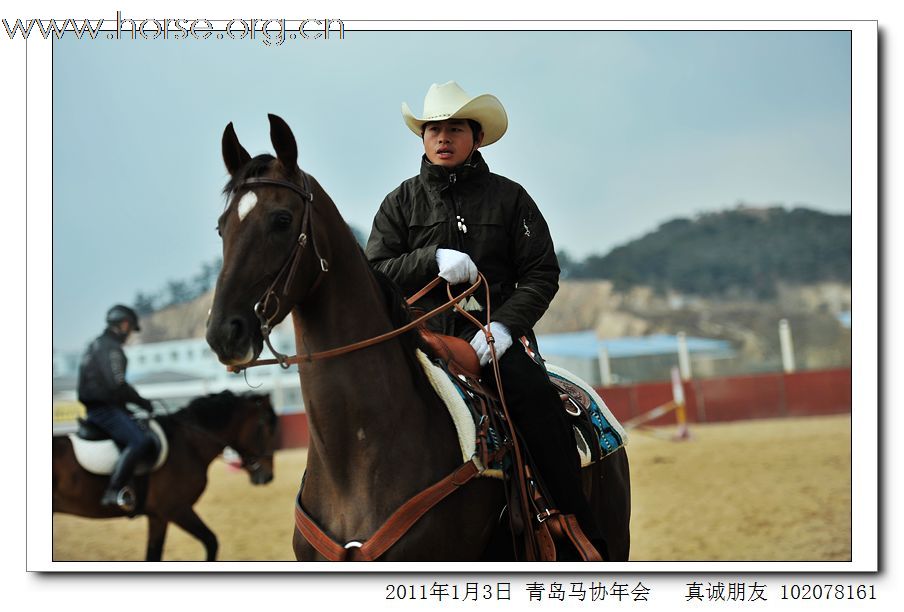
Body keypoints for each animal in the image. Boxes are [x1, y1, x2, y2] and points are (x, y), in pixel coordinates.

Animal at [52, 392, 278, 560]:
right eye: (266, 427)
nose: (268, 476)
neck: (189, 444)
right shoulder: (175, 509)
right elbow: (211, 542)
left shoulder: (158, 517)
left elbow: (153, 555)